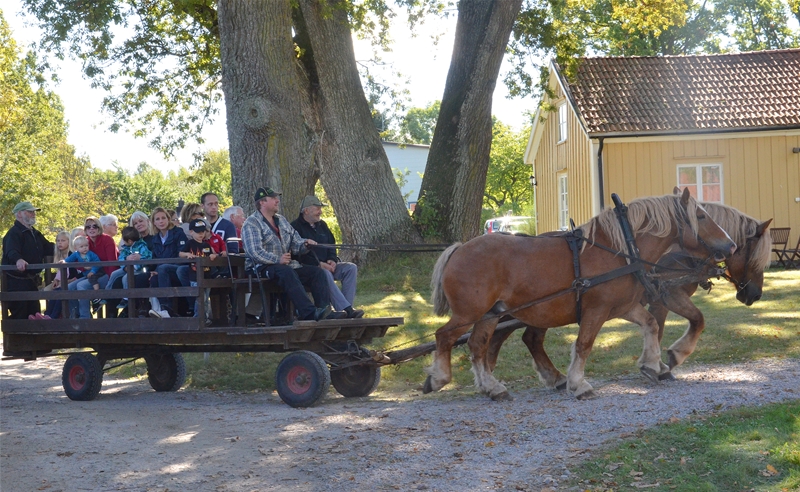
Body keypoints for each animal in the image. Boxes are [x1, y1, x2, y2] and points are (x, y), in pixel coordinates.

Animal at [424, 189, 736, 401]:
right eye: (700, 216)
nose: (731, 244)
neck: (620, 250)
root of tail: (459, 249)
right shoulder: (595, 311)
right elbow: (584, 344)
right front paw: (578, 383)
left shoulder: (621, 306)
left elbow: (651, 324)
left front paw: (651, 365)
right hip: (470, 313)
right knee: (445, 336)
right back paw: (440, 377)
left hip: (491, 314)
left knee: (478, 345)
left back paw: (492, 387)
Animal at [486, 203, 773, 390]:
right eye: (755, 256)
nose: (755, 294)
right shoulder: (668, 295)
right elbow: (694, 321)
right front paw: (666, 361)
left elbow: (659, 327)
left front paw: (657, 364)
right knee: (514, 337)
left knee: (526, 338)